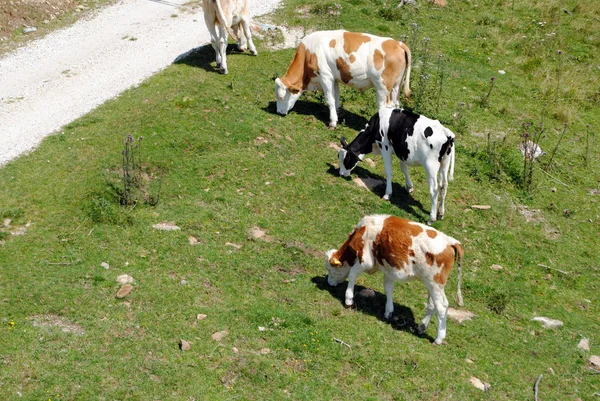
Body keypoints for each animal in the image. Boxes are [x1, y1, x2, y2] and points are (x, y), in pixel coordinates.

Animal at [274, 30, 410, 129]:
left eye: (281, 97)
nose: (279, 112)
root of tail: (398, 43)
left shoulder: (325, 77)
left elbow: (329, 99)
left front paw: (332, 123)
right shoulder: (334, 79)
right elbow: (336, 99)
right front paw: (337, 115)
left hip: (383, 87)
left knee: (385, 107)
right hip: (396, 86)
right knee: (396, 105)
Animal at [324, 212, 464, 344]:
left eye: (329, 269)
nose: (329, 283)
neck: (364, 229)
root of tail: (451, 241)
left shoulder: (366, 261)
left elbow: (352, 274)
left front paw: (348, 300)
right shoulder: (388, 269)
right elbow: (388, 288)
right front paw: (388, 311)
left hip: (434, 283)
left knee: (442, 307)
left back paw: (439, 339)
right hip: (430, 283)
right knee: (432, 304)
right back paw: (422, 326)